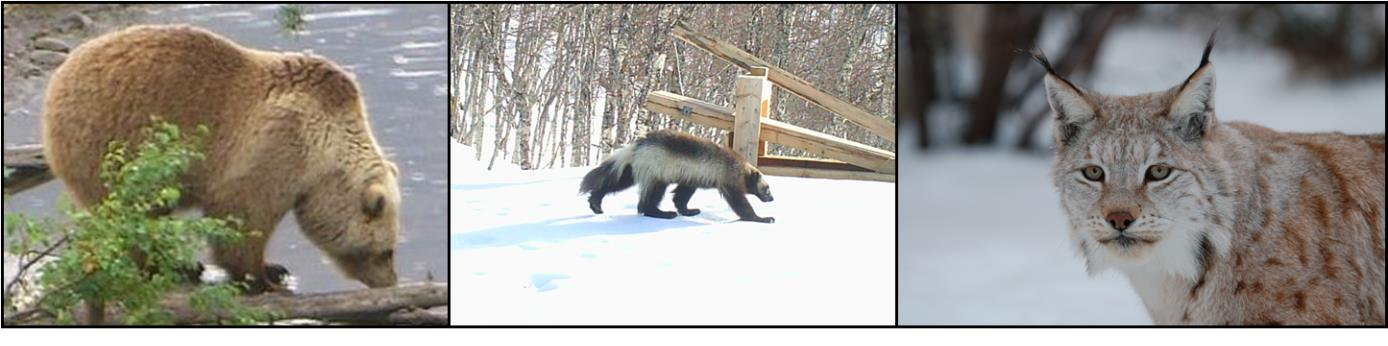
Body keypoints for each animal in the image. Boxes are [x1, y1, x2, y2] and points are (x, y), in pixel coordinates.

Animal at [41, 24, 402, 291]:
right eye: (386, 252)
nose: (390, 282)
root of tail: (60, 75)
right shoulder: (273, 146)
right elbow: (244, 214)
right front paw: (263, 277)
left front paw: (273, 268)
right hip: (115, 145)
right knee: (133, 214)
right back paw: (173, 266)